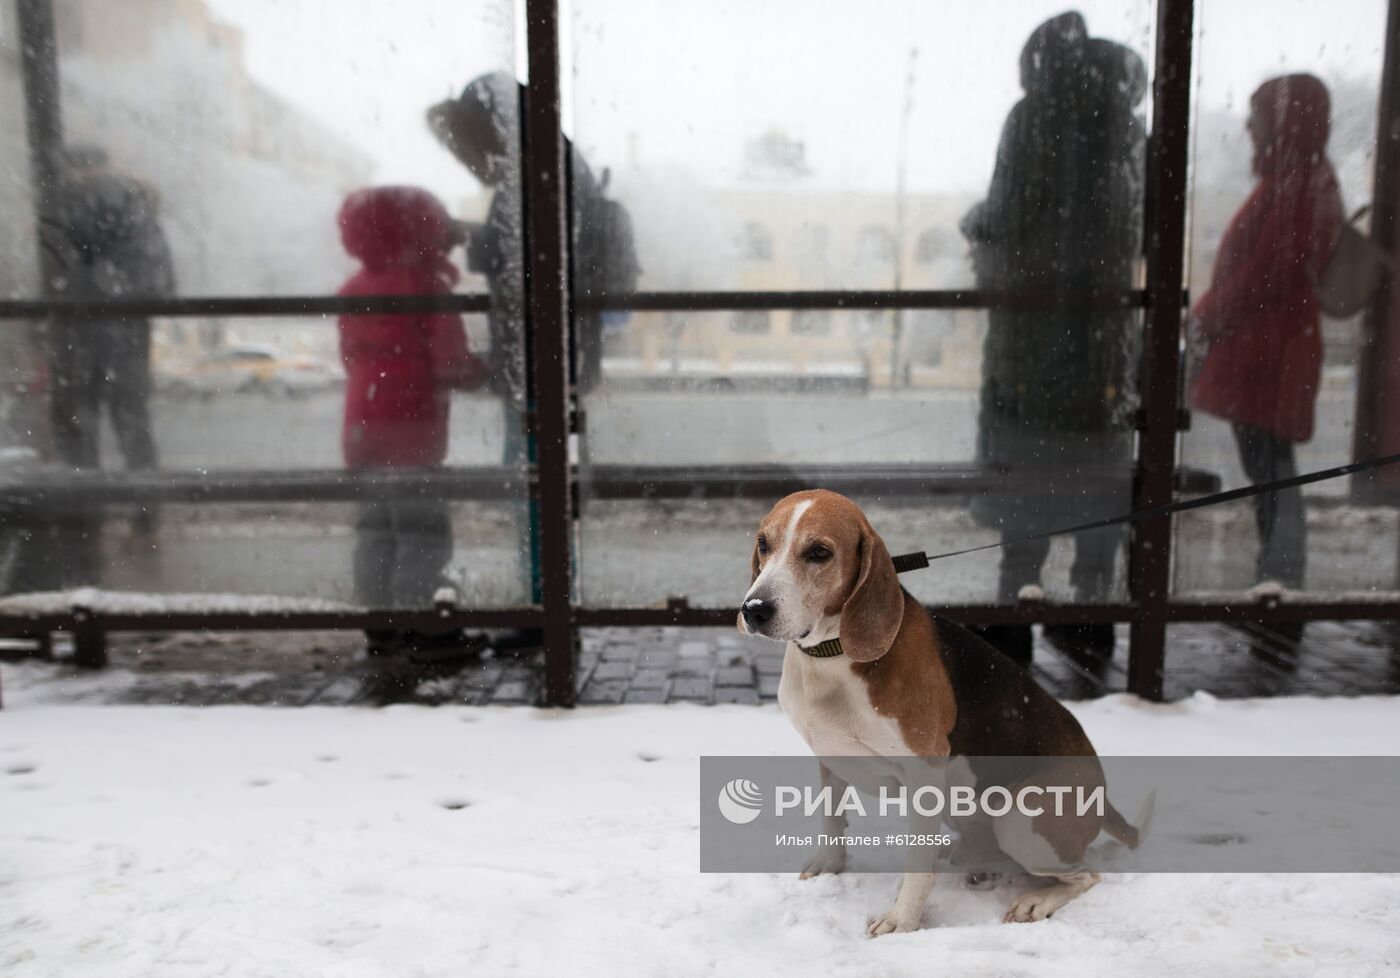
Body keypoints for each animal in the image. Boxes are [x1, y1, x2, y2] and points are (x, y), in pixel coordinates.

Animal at [739, 492, 1142, 934]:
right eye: (764, 544)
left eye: (819, 553)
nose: (754, 609)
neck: (833, 653)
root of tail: (1103, 795)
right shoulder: (830, 756)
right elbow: (831, 821)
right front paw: (831, 866)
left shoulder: (925, 769)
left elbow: (917, 866)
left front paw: (902, 920)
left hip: (1021, 822)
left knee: (1087, 875)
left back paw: (1035, 900)